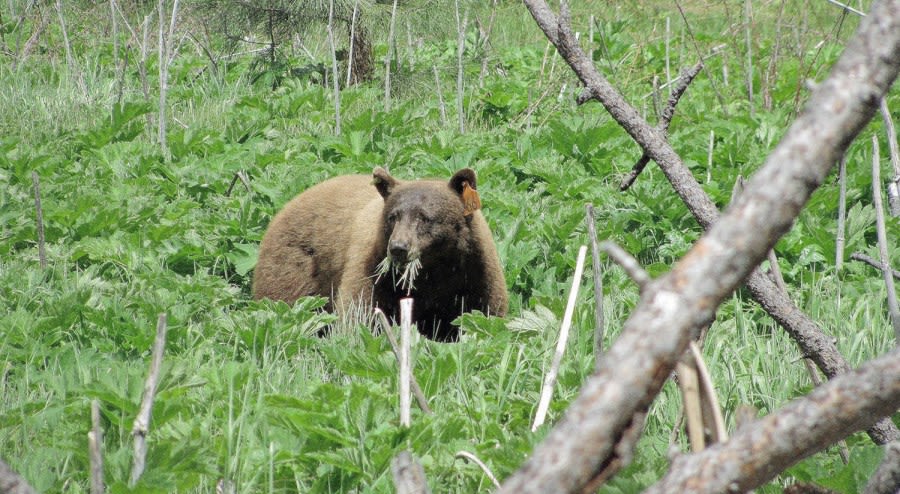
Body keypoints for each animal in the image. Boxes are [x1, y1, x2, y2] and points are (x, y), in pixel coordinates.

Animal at [251, 168, 506, 342]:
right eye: (393, 216)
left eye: (424, 217)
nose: (398, 247)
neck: (434, 271)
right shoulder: (373, 270)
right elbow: (359, 311)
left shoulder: (475, 274)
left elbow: (483, 314)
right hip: (294, 268)